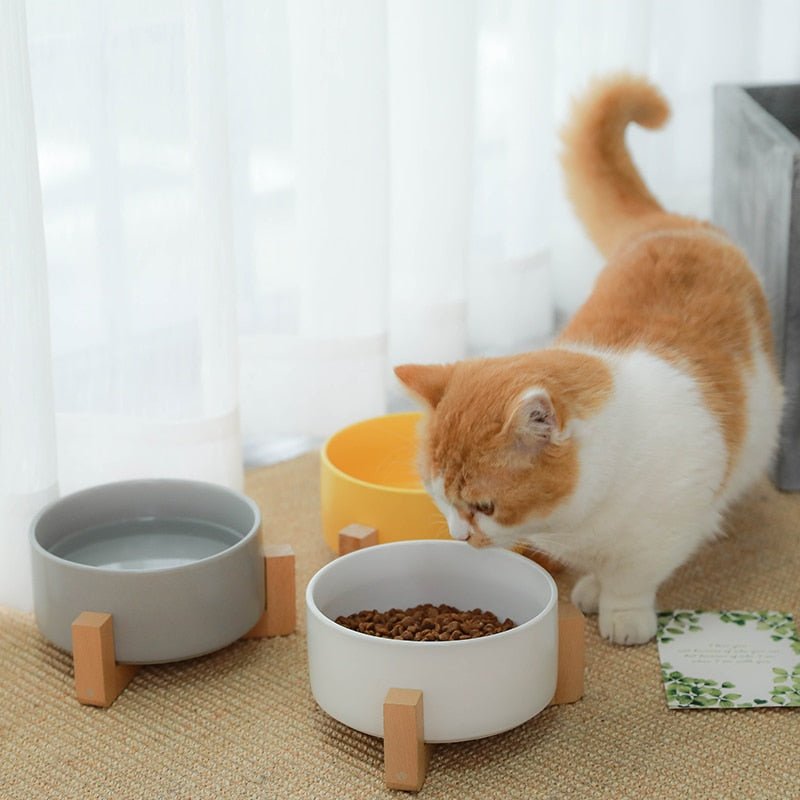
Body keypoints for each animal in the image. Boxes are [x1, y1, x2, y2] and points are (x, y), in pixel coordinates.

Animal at [394, 75, 780, 648]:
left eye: (483, 507)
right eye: (435, 494)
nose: (458, 536)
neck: (580, 521)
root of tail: (665, 223)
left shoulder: (663, 534)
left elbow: (632, 579)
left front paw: (622, 614)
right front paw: (593, 588)